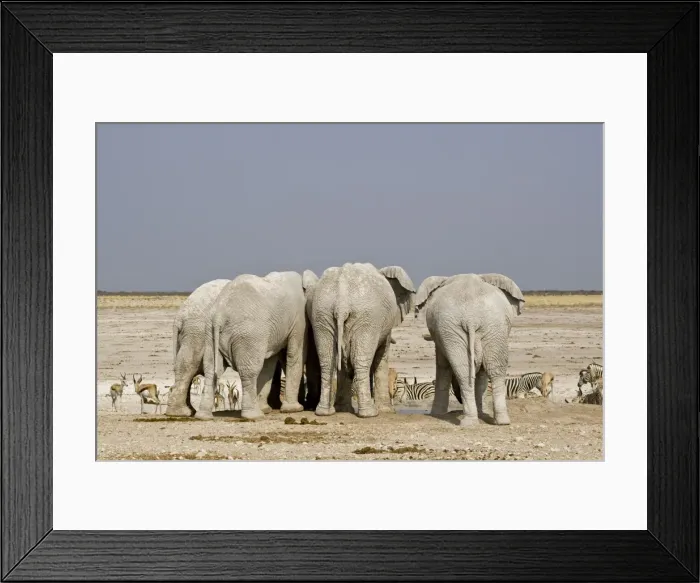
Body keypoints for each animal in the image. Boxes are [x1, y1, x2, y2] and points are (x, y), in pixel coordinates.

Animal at [166, 279, 230, 418]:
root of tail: (179, 317)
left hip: (190, 333)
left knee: (184, 364)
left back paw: (184, 411)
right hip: (197, 330)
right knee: (190, 364)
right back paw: (182, 412)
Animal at [197, 270, 318, 420]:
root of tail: (219, 315)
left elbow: (269, 363)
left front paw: (268, 409)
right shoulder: (299, 318)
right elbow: (295, 354)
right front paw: (294, 409)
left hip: (210, 333)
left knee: (211, 369)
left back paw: (203, 416)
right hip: (248, 334)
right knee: (249, 372)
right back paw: (254, 415)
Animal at [308, 262, 415, 418]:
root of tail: (342, 297)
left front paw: (343, 409)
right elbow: (381, 357)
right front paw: (387, 411)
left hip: (321, 313)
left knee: (327, 362)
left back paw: (324, 412)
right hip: (367, 317)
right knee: (360, 361)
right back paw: (369, 413)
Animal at [415, 273, 525, 427]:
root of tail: (471, 318)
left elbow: (443, 365)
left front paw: (437, 414)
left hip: (479, 327)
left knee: (470, 370)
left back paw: (477, 421)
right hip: (481, 328)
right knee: (491, 369)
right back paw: (494, 421)